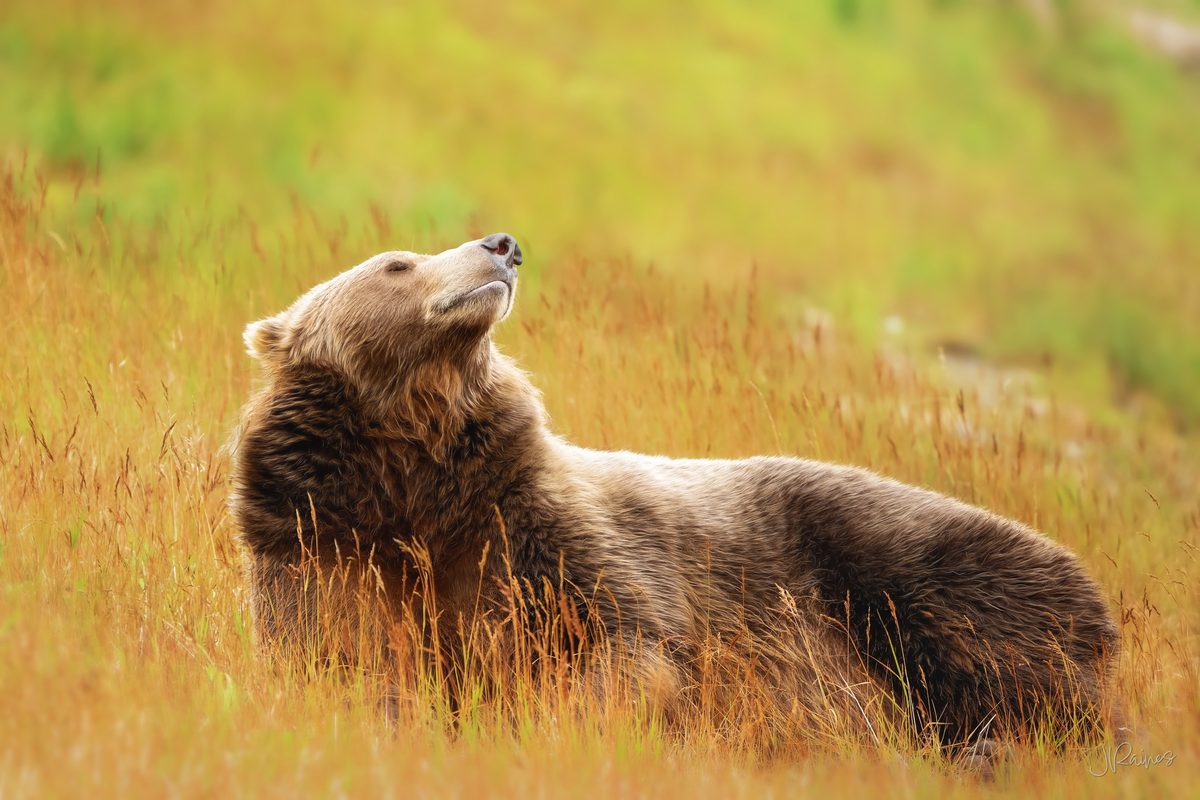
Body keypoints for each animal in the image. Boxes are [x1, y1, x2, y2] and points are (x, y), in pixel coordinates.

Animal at [230, 232, 1121, 758]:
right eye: (397, 263)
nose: (501, 244)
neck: (419, 471)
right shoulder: (322, 537)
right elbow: (339, 656)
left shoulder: (540, 528)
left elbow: (631, 642)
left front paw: (554, 727)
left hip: (902, 556)